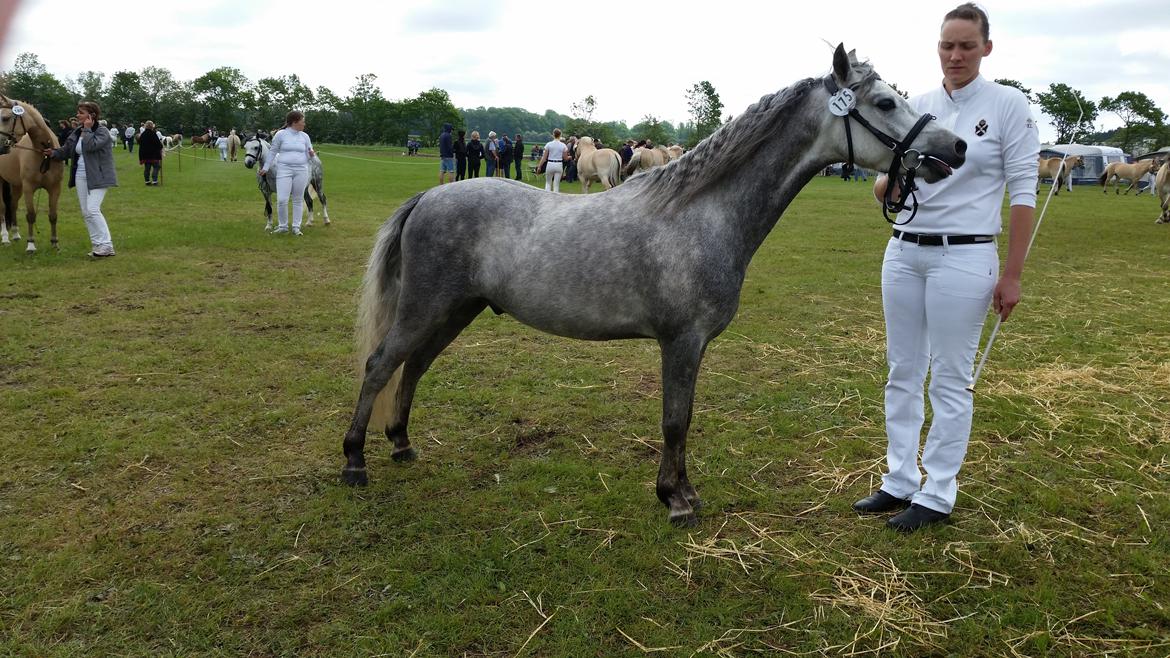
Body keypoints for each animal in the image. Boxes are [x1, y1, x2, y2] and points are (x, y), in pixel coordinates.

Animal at [0, 99, 64, 250]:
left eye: (5, 118)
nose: (1, 146)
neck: (43, 154)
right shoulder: (28, 188)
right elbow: (30, 215)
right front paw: (30, 245)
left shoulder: (55, 188)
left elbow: (53, 215)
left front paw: (55, 243)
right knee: (3, 208)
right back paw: (5, 238)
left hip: (16, 185)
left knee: (13, 205)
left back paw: (16, 234)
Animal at [341, 43, 968, 522]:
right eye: (885, 101)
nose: (956, 147)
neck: (702, 215)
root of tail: (428, 197)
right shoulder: (682, 341)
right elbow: (675, 419)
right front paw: (677, 500)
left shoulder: (691, 344)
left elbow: (681, 419)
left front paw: (678, 492)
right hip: (426, 307)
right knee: (381, 364)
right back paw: (355, 462)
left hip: (455, 310)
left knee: (413, 367)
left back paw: (401, 444)